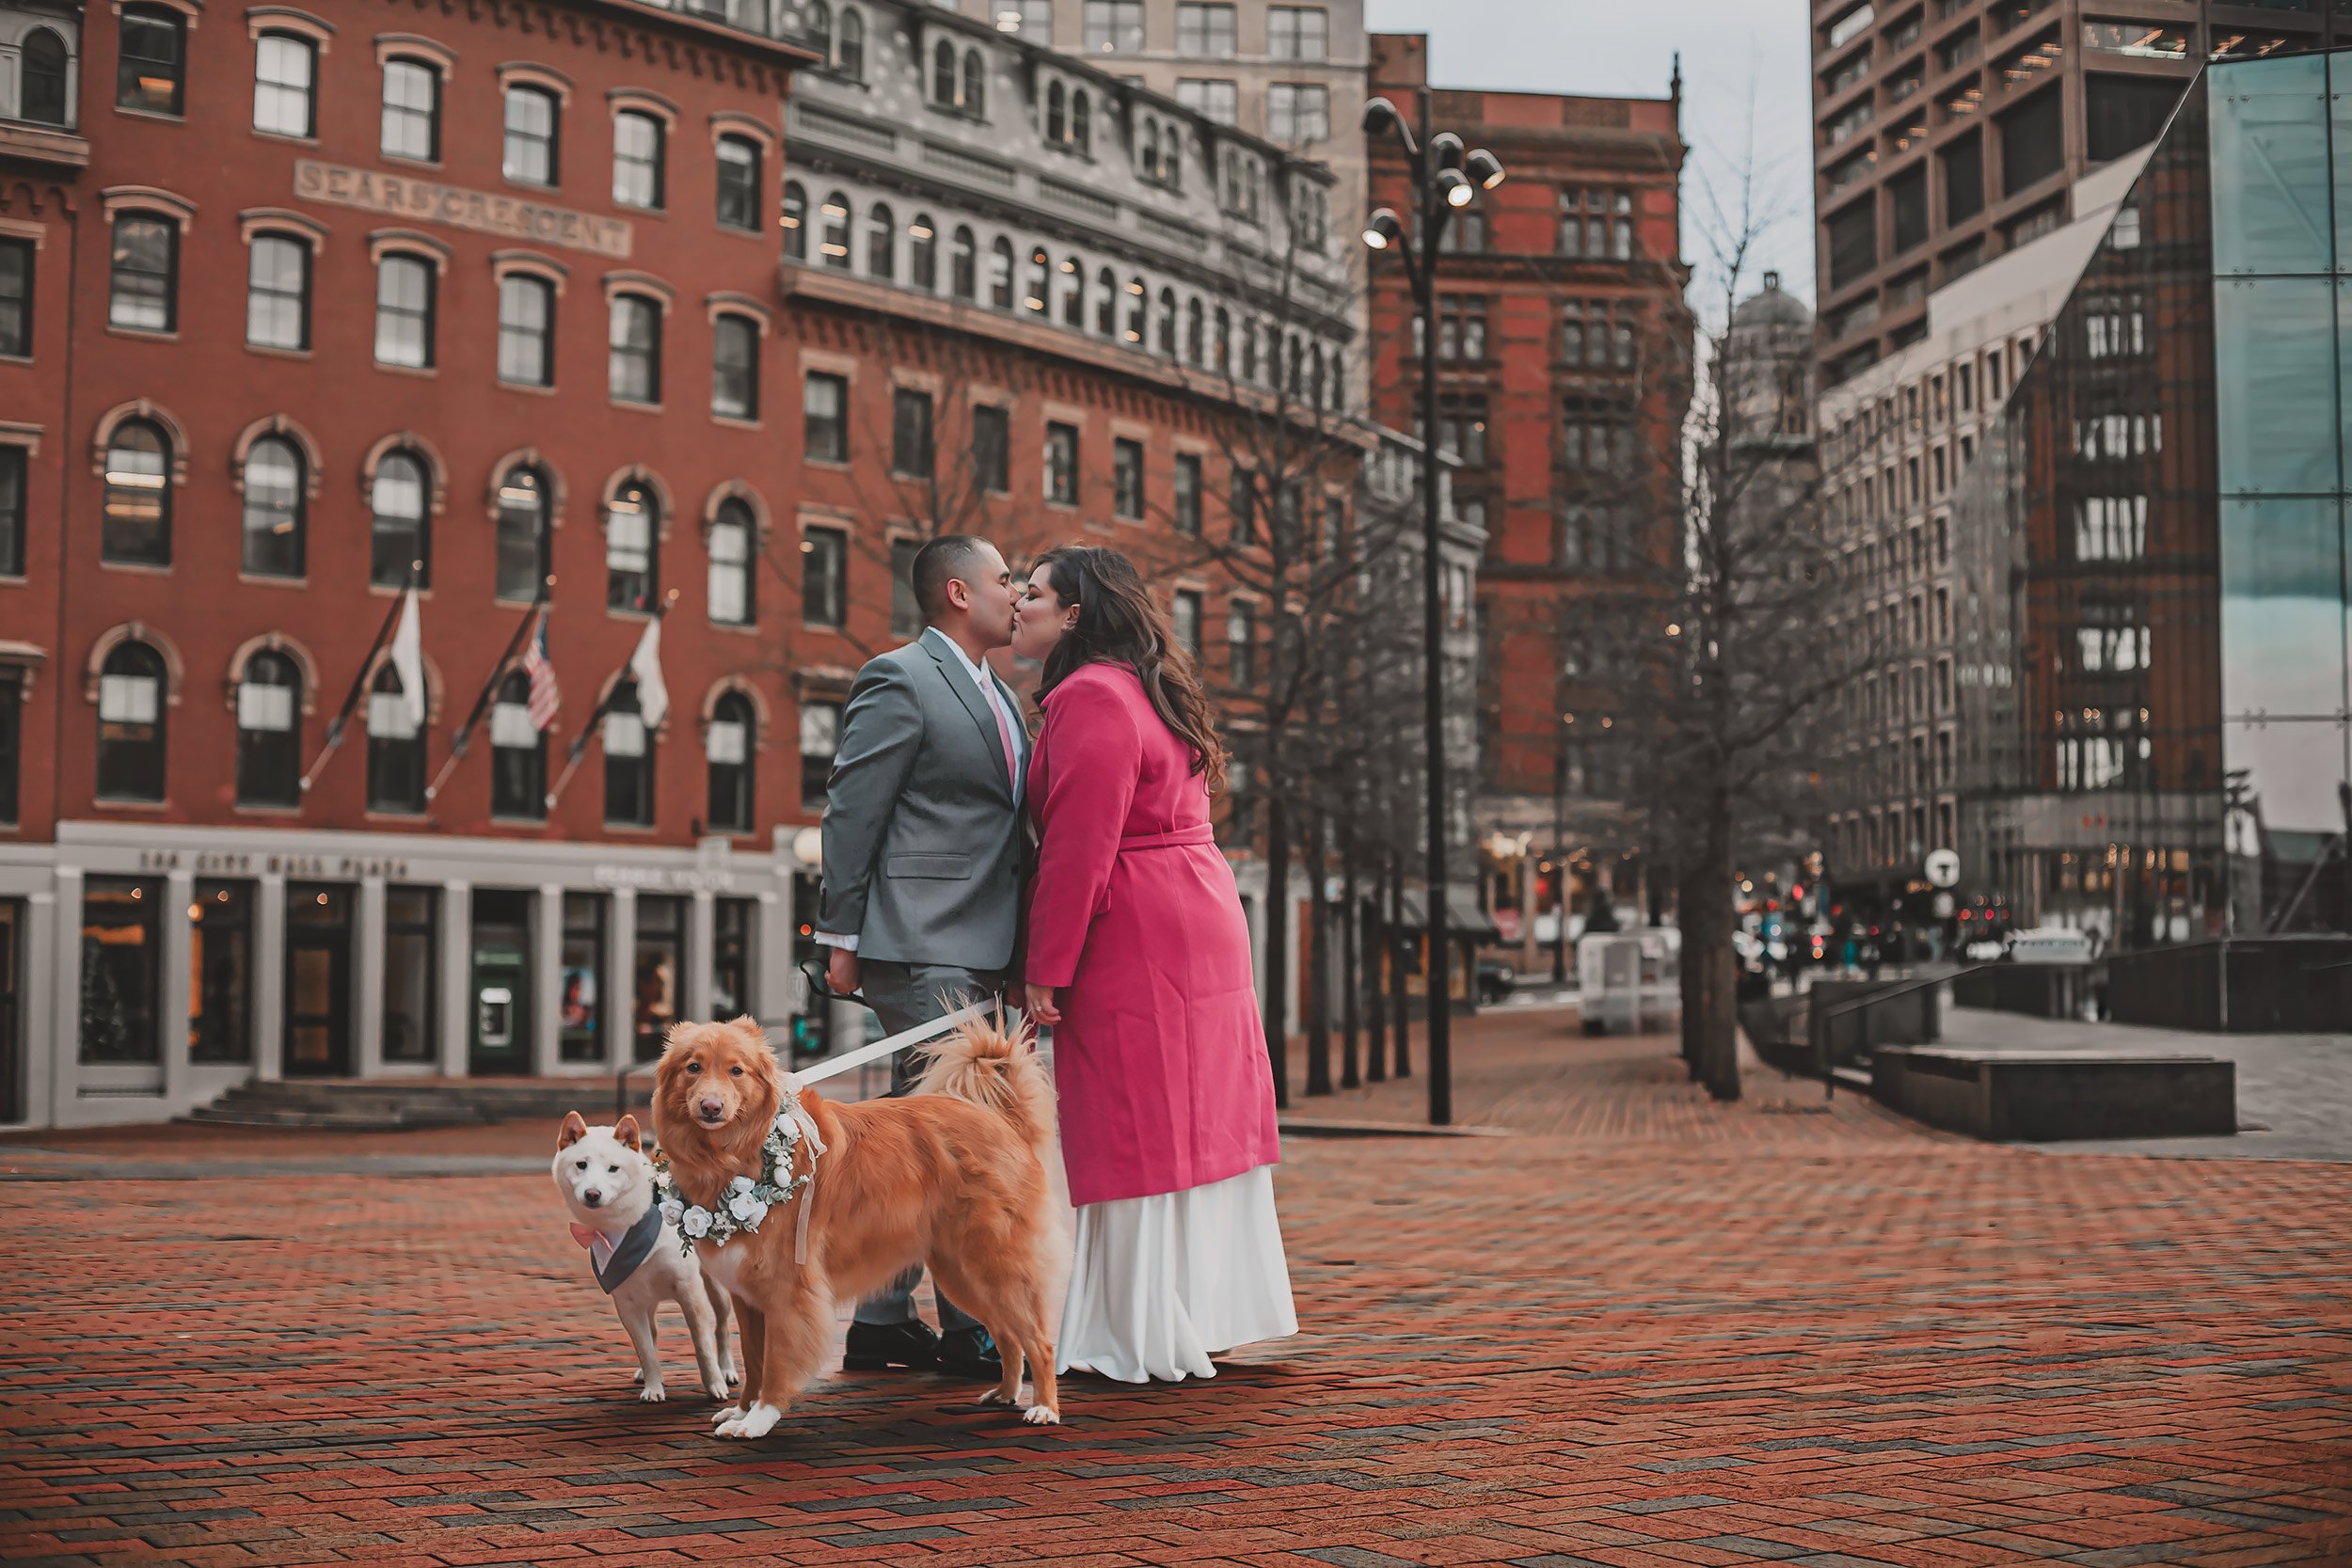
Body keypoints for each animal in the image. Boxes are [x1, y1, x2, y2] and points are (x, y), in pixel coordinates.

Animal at [550, 1109, 734, 1401]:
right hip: (646, 1297)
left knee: (723, 1328)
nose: (592, 1194)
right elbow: (645, 1349)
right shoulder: (626, 1300)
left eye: (614, 1168)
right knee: (654, 1330)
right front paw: (653, 1386)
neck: (626, 1225)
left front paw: (715, 1384)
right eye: (581, 1165)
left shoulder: (689, 1290)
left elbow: (703, 1346)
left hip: (716, 1288)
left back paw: (727, 1370)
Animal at [659, 1010, 1073, 1438]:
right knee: (1008, 1335)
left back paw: (1044, 1407)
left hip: (994, 1265)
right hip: (961, 1275)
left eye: (736, 1071)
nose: (710, 1107)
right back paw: (1005, 1393)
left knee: (1038, 1341)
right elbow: (753, 1360)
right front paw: (741, 1412)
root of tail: (1001, 1120)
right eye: (693, 1067)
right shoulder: (747, 1296)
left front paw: (759, 1419)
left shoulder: (788, 1290)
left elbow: (774, 1362)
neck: (740, 1151)